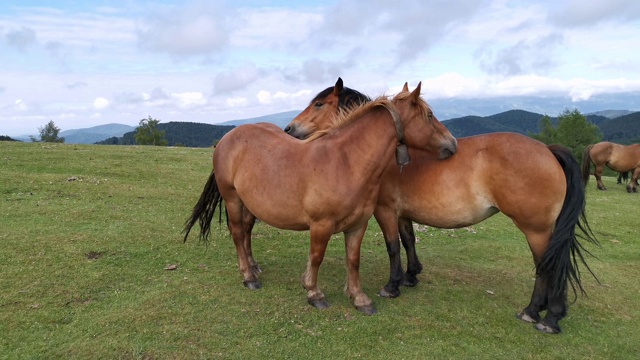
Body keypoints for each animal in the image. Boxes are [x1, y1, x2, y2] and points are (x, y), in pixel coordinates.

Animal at [182, 89, 458, 316]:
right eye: (430, 115)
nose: (453, 143)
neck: (346, 162)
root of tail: (227, 138)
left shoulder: (358, 225)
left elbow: (353, 261)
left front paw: (359, 298)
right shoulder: (321, 225)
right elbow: (316, 257)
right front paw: (314, 293)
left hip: (250, 204)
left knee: (247, 232)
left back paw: (253, 266)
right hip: (233, 199)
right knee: (239, 233)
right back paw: (249, 277)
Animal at [284, 79, 600, 334]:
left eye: (319, 103)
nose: (289, 128)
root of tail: (547, 150)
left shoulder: (385, 210)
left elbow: (392, 246)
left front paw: (392, 285)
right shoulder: (403, 213)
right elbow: (408, 241)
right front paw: (411, 276)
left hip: (536, 230)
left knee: (548, 266)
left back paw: (541, 315)